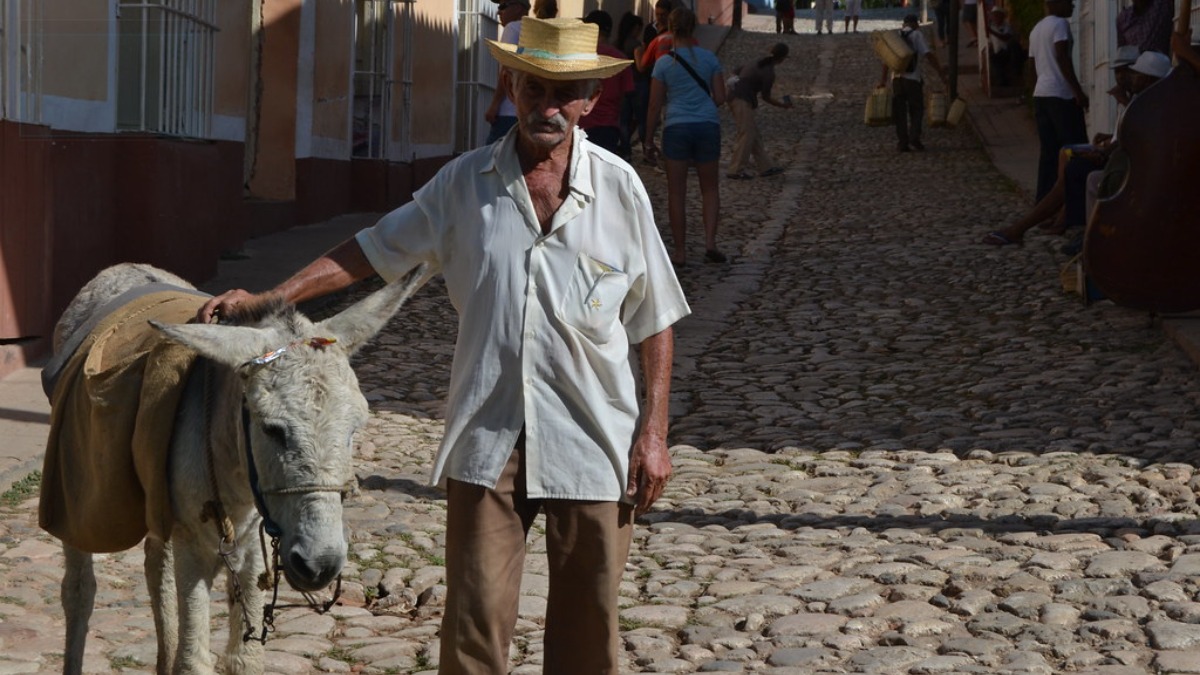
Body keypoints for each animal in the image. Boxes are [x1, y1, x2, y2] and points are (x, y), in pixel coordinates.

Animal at [49, 262, 426, 674]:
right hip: (78, 485)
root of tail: (122, 267)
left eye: (355, 427)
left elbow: (247, 658)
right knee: (79, 589)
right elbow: (194, 661)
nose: (320, 566)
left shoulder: (255, 541)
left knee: (155, 566)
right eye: (271, 429)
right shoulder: (192, 545)